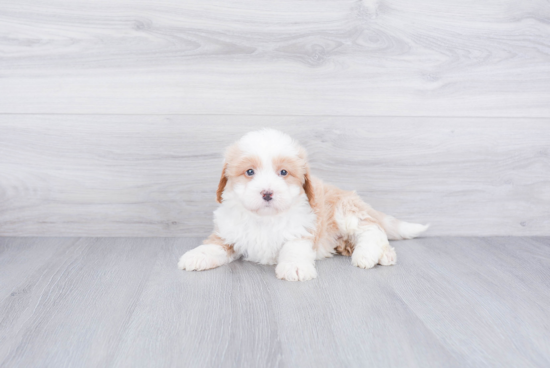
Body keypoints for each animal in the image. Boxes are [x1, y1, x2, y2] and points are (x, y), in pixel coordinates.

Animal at [179, 129, 430, 282]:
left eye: (283, 172)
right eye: (249, 172)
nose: (267, 193)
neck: (265, 218)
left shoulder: (301, 230)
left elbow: (294, 248)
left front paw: (295, 267)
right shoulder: (228, 232)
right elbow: (214, 245)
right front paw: (196, 256)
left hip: (344, 212)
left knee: (372, 229)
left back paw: (369, 254)